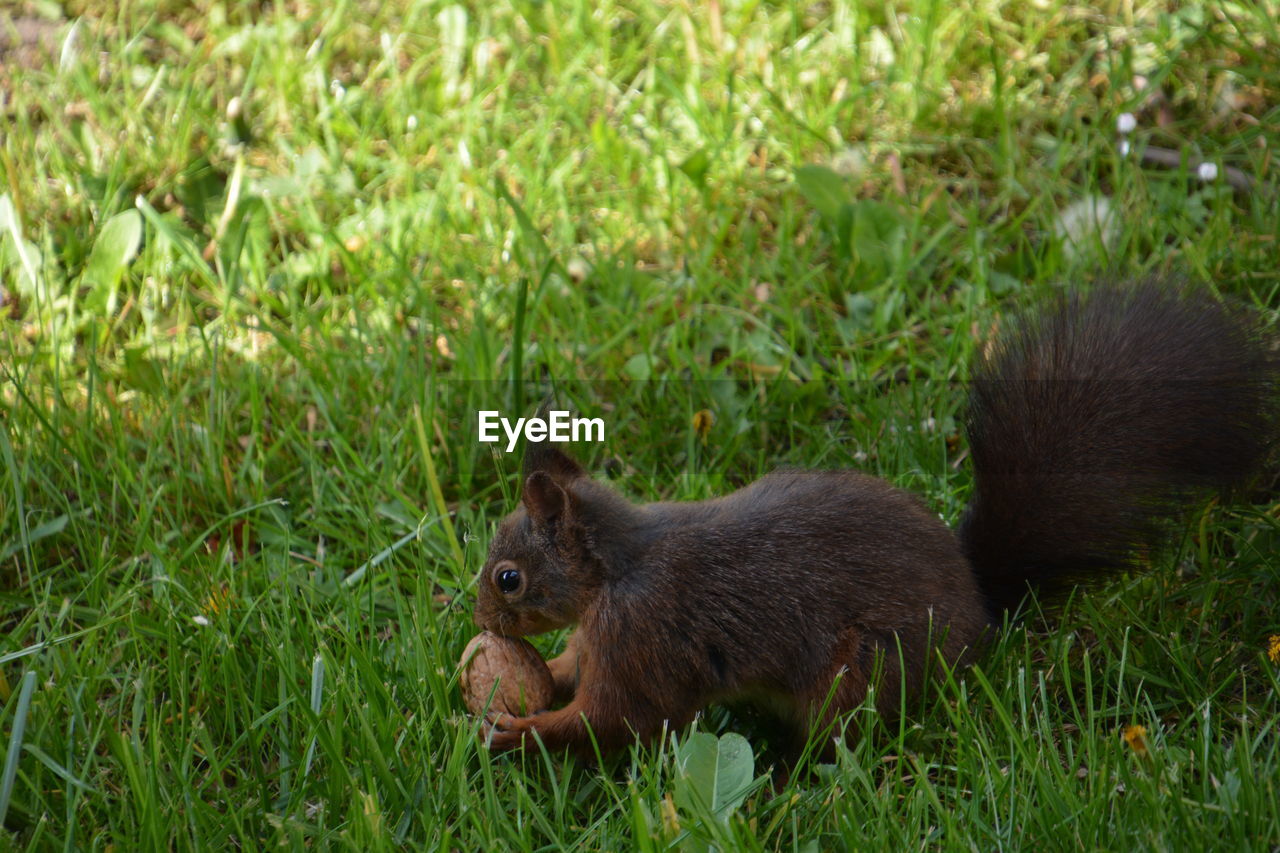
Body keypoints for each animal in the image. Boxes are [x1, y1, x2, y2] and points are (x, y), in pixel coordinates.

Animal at [473, 279, 1280, 758]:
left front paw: (521, 729)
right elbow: (578, 671)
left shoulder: (645, 641)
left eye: (509, 577)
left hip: (859, 671)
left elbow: (618, 718)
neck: (616, 568)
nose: (480, 618)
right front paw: (545, 672)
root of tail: (981, 606)